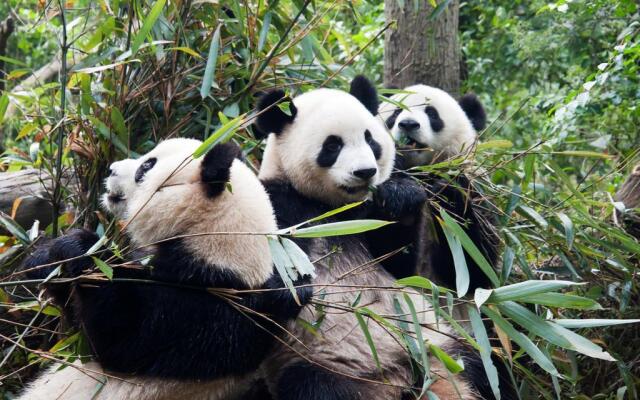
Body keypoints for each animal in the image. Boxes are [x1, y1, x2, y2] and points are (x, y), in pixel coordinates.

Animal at [19, 138, 310, 400]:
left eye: (146, 166)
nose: (111, 169)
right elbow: (72, 320)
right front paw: (44, 259)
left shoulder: (207, 312)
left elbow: (118, 338)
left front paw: (82, 249)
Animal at [372, 84, 502, 290]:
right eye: (396, 113)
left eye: (432, 114)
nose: (408, 124)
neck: (421, 171)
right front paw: (401, 197)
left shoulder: (478, 194)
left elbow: (477, 270)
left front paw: (446, 193)